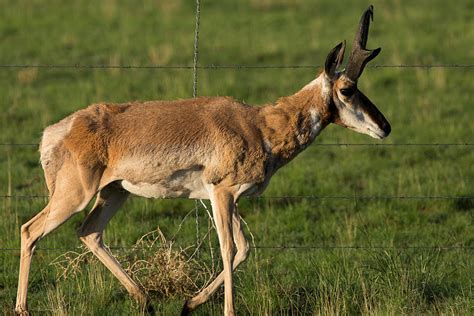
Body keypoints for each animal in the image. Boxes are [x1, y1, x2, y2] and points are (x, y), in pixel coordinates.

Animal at [16, 5, 390, 316]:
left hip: (114, 193)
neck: (258, 124)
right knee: (30, 230)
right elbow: (228, 249)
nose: (385, 127)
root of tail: (57, 131)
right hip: (75, 196)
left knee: (90, 232)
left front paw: (189, 303)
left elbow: (244, 248)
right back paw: (22, 308)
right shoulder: (221, 193)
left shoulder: (227, 197)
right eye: (347, 89)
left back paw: (146, 300)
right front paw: (228, 311)